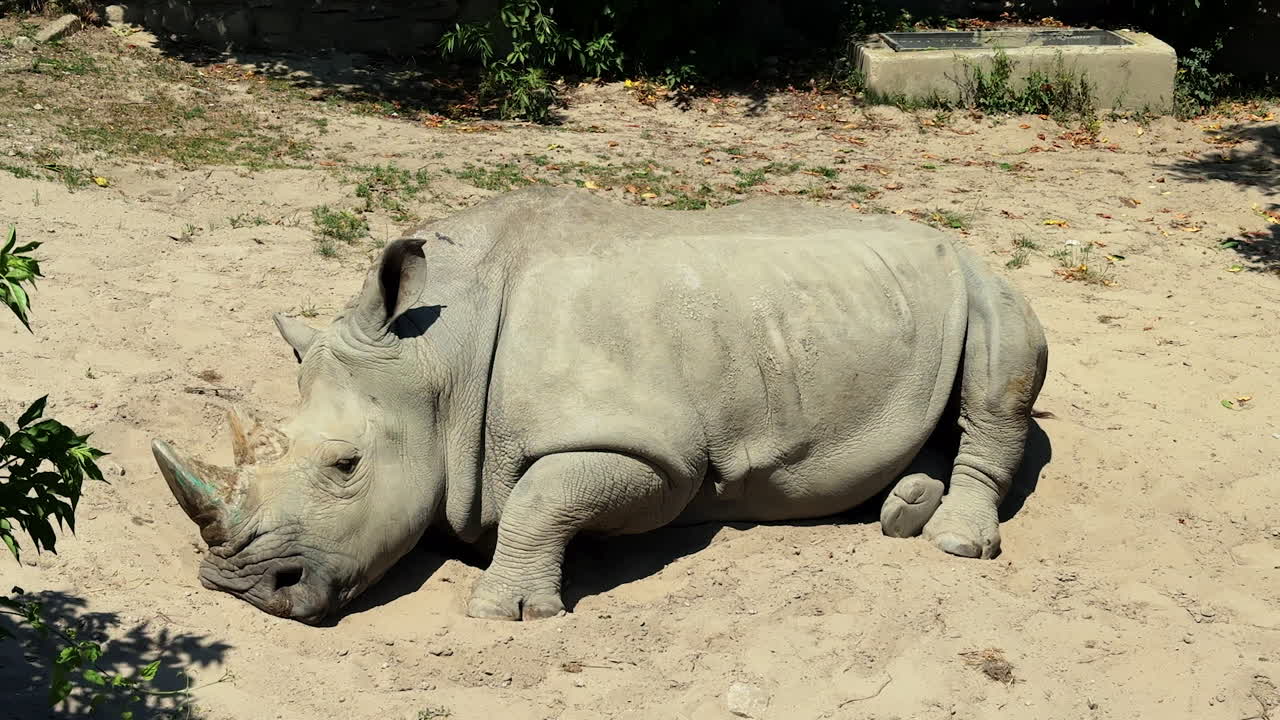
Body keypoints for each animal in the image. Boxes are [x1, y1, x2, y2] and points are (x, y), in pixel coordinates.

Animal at [152, 187, 1048, 624]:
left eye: (347, 466)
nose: (235, 587)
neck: (440, 359)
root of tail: (948, 237)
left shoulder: (659, 456)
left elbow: (542, 498)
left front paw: (507, 612)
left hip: (980, 277)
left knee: (999, 382)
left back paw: (953, 543)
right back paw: (902, 511)